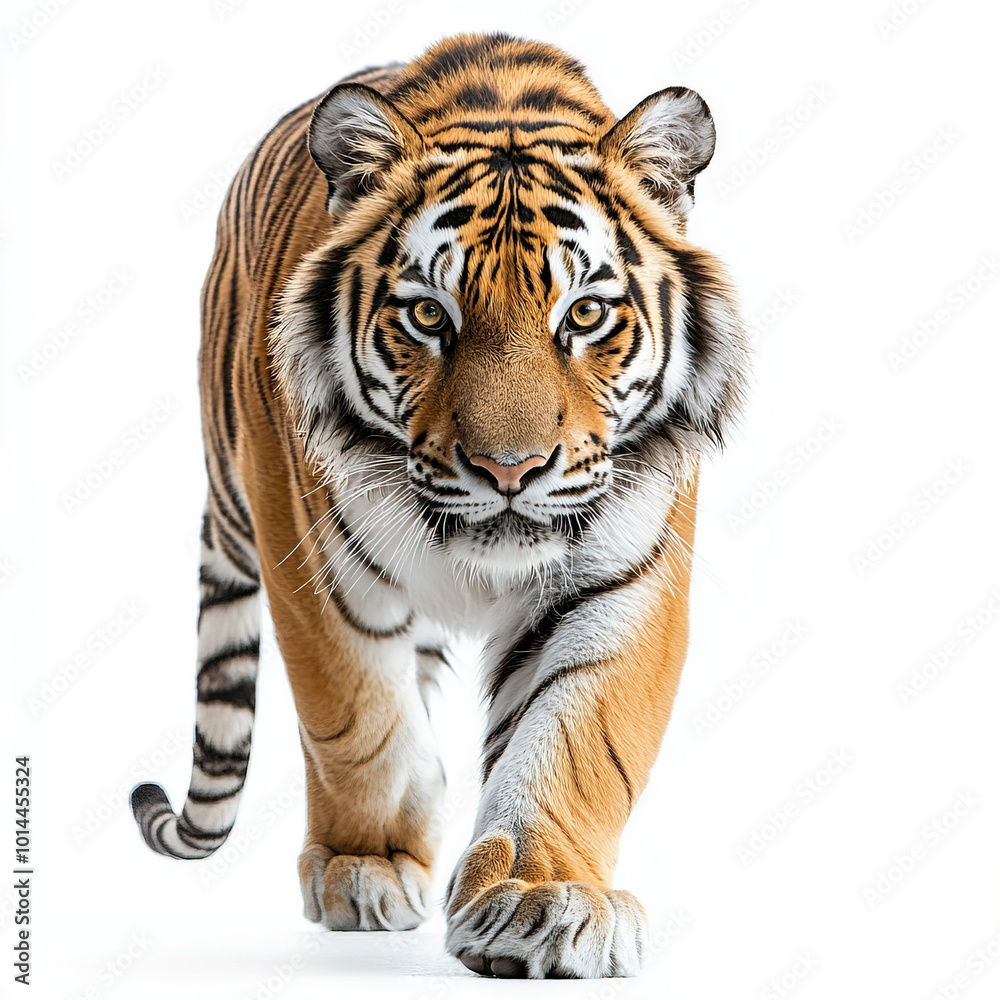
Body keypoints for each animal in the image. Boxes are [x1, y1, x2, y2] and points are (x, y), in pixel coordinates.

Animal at [129, 32, 749, 979]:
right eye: (428, 315)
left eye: (586, 315)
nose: (509, 468)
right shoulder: (313, 557)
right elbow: (356, 717)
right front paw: (368, 865)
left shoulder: (624, 573)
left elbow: (575, 737)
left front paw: (543, 898)